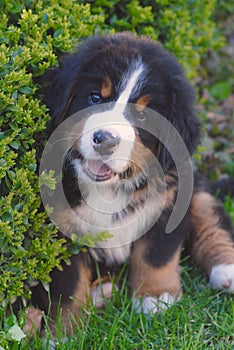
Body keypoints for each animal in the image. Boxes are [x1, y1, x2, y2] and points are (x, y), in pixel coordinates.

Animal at [34, 31, 234, 332]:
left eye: (142, 116)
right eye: (95, 97)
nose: (104, 140)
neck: (109, 189)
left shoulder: (169, 202)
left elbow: (155, 255)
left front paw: (156, 297)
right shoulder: (60, 229)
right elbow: (68, 286)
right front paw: (65, 330)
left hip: (196, 189)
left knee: (212, 224)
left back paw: (226, 269)